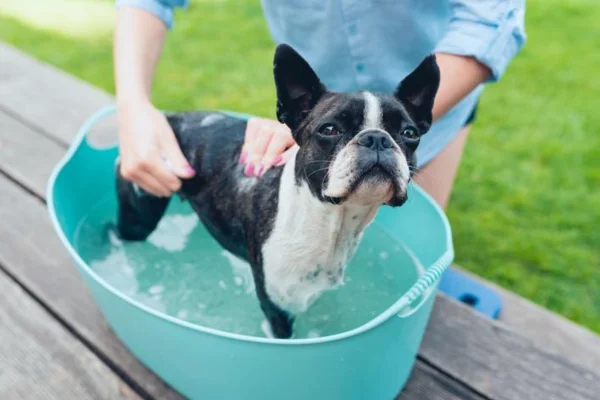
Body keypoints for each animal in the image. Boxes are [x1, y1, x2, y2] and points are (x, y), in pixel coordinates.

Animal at [113, 43, 440, 338]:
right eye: (329, 129)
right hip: (140, 215)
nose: (377, 138)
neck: (330, 222)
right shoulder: (278, 309)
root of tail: (168, 119)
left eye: (409, 133)